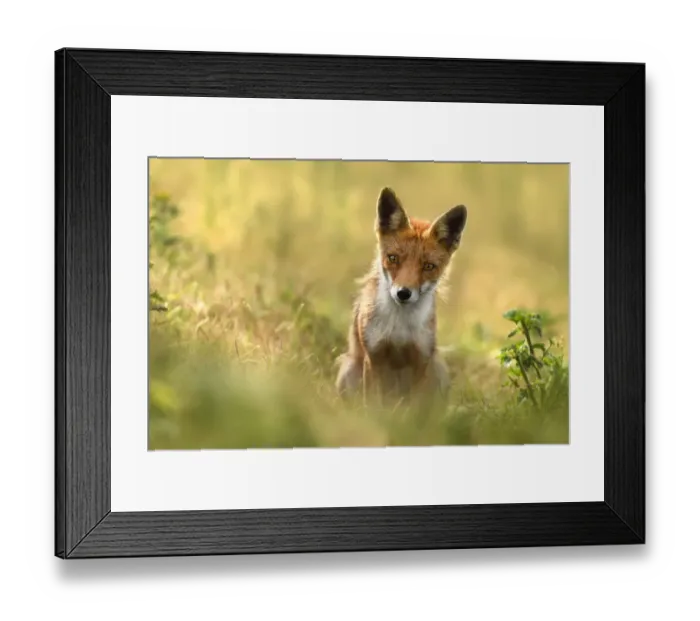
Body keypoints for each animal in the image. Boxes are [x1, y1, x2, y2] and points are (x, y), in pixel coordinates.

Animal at [335, 186, 468, 406]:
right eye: (393, 258)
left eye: (428, 266)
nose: (403, 293)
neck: (399, 327)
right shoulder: (374, 357)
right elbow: (373, 405)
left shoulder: (421, 360)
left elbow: (413, 409)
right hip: (349, 370)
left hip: (438, 368)